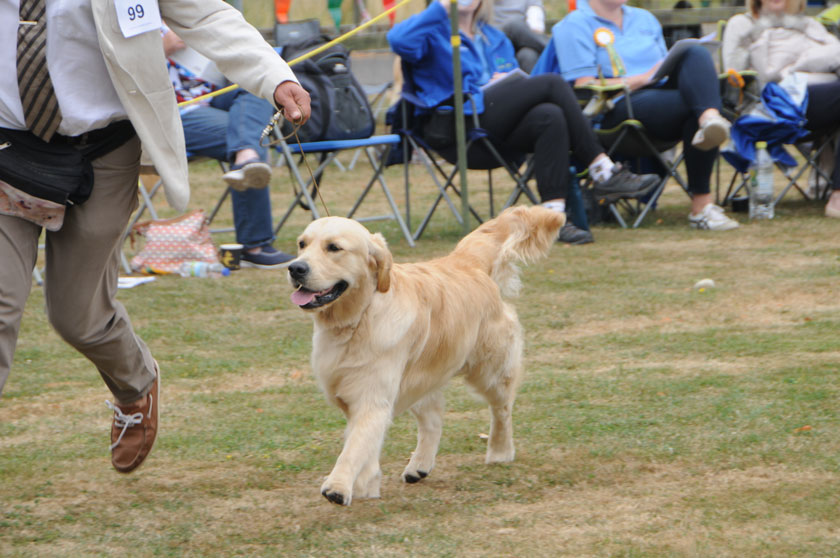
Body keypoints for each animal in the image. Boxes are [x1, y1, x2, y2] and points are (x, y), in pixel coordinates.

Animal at [288, 206, 564, 508]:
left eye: (334, 248)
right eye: (302, 244)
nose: (295, 268)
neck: (358, 318)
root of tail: (466, 261)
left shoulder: (373, 397)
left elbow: (355, 445)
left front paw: (338, 486)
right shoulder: (356, 396)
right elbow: (365, 443)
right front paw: (368, 484)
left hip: (490, 370)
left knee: (501, 409)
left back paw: (500, 451)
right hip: (420, 378)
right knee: (434, 420)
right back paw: (419, 465)